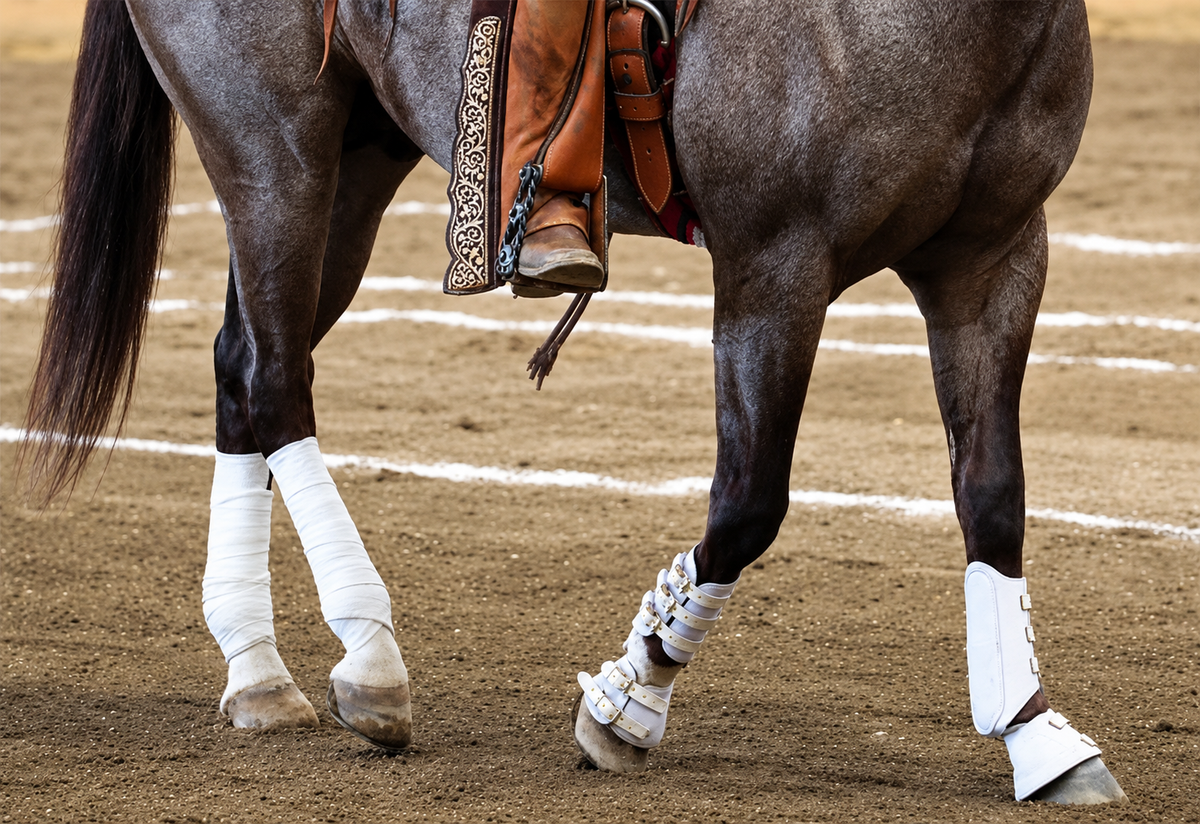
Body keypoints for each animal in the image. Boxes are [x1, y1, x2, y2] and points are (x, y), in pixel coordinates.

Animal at [20, 0, 1125, 804]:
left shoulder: (995, 259)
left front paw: (1036, 732)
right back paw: (369, 659)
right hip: (269, 148)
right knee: (276, 381)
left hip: (353, 157)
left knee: (240, 367)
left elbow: (993, 494)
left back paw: (256, 671)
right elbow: (749, 501)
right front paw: (631, 698)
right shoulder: (775, 264)